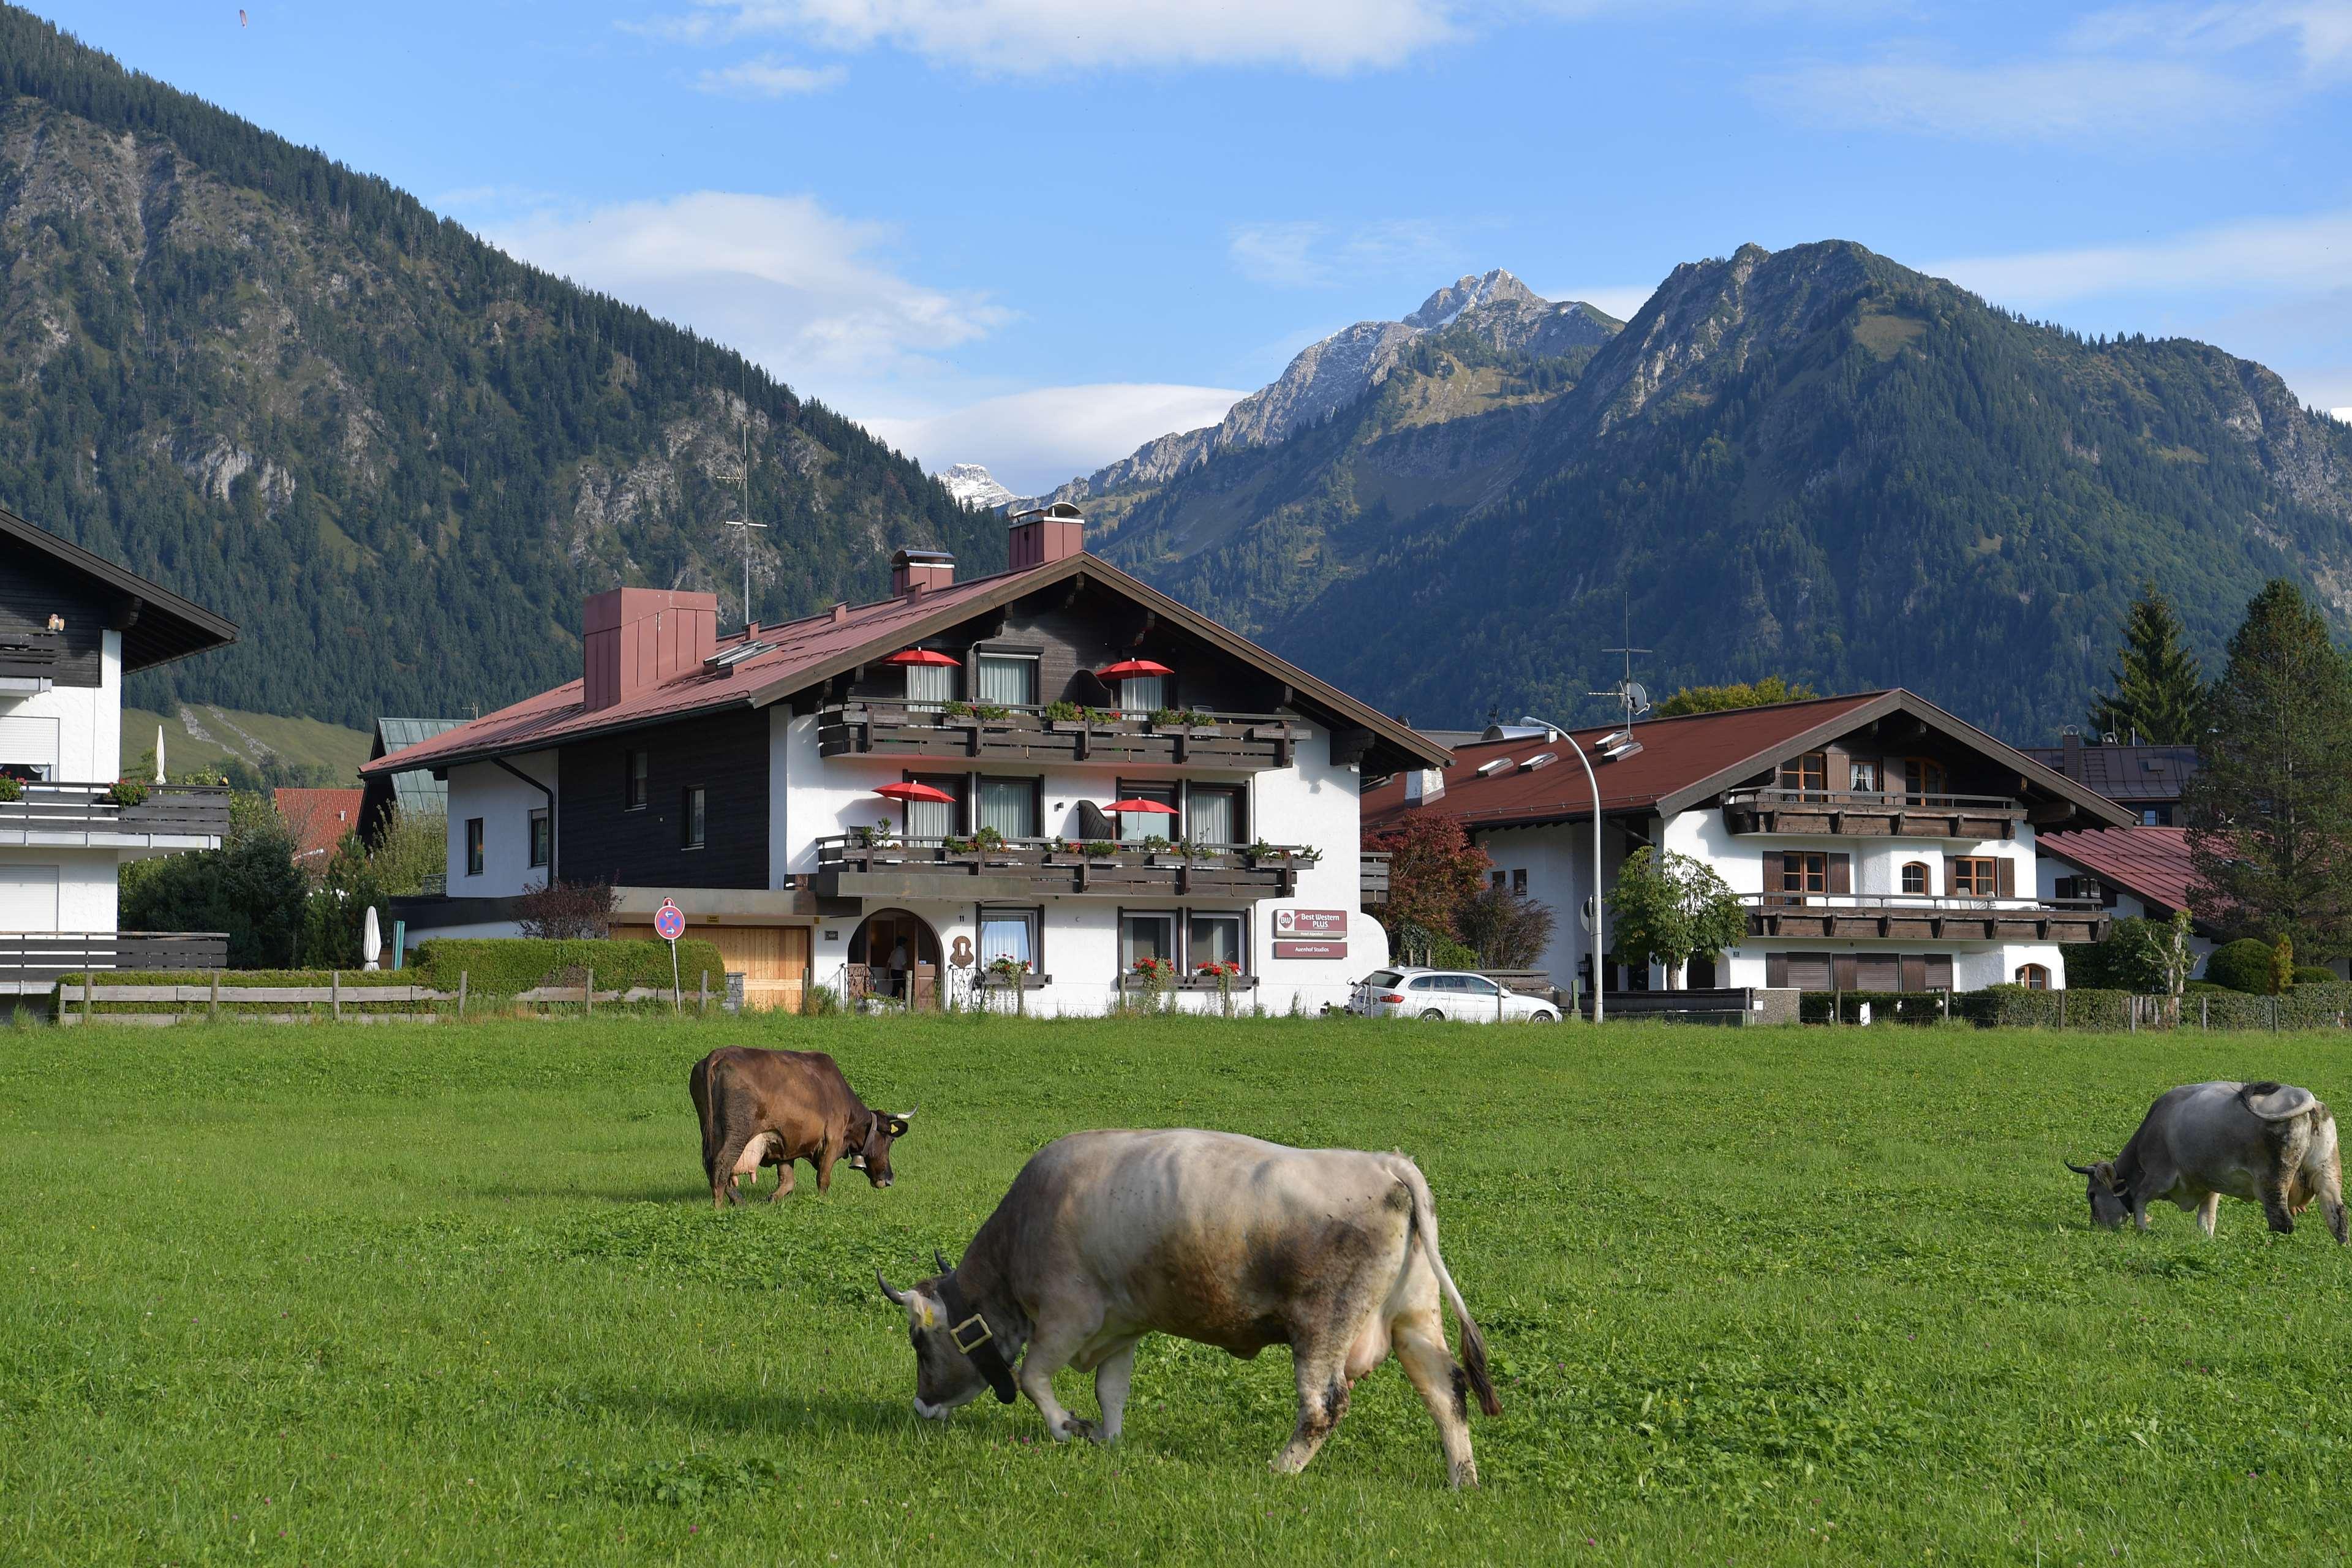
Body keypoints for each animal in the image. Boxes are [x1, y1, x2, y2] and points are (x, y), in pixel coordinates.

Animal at [687, 1053, 908, 1213]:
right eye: (890, 1142)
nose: (889, 1179)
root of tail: (719, 1054)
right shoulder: (833, 1140)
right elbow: (823, 1178)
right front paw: (822, 1202)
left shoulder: (786, 1144)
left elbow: (788, 1181)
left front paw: (771, 1199)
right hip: (737, 1133)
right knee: (721, 1164)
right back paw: (719, 1206)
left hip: (710, 1129)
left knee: (712, 1165)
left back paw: (739, 1201)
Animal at [875, 1133, 1496, 1495]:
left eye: (918, 1344)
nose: (921, 1407)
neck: (1024, 1229)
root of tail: (1387, 1165)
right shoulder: (1120, 1327)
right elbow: (1112, 1390)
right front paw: (1109, 1439)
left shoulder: (1066, 1318)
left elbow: (1031, 1378)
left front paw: (1068, 1428)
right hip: (1415, 1319)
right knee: (1447, 1391)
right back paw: (1463, 1481)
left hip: (1322, 1328)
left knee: (1325, 1406)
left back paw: (1279, 1471)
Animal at [2070, 1081, 2342, 1241]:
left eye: (2092, 1195)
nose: (2096, 1226)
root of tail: (2304, 1098)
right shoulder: (2209, 1187)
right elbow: (2206, 1219)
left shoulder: (2159, 1176)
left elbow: (2138, 1201)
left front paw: (2143, 1229)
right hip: (2327, 1173)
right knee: (2337, 1215)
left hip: (2272, 1182)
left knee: (2282, 1222)